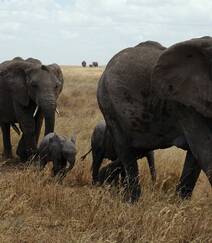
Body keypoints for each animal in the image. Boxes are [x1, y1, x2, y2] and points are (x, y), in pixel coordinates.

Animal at [97, 36, 212, 203]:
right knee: (126, 152)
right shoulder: (185, 105)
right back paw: (132, 202)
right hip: (109, 106)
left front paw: (181, 205)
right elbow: (204, 148)